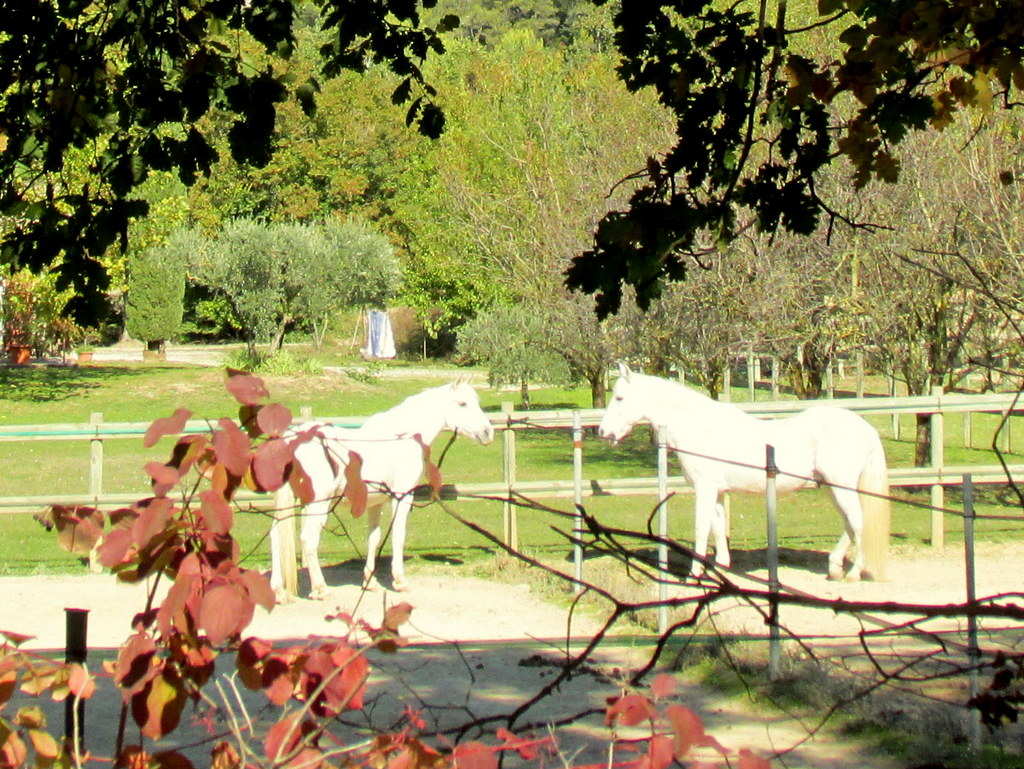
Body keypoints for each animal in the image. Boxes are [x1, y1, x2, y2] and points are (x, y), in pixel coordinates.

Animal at [270, 382, 493, 606]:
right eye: (462, 403)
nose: (487, 432)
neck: (402, 437)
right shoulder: (402, 496)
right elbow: (399, 535)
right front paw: (400, 581)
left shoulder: (375, 503)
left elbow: (373, 539)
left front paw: (370, 581)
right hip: (318, 504)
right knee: (308, 539)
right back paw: (320, 589)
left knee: (275, 535)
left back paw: (279, 592)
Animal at [598, 364, 892, 581]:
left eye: (620, 398)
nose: (603, 432)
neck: (700, 427)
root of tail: (864, 427)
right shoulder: (717, 492)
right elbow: (717, 528)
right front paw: (721, 569)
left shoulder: (704, 489)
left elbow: (701, 528)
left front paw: (694, 576)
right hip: (831, 487)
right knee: (849, 523)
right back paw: (834, 569)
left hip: (841, 486)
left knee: (857, 521)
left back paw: (853, 573)